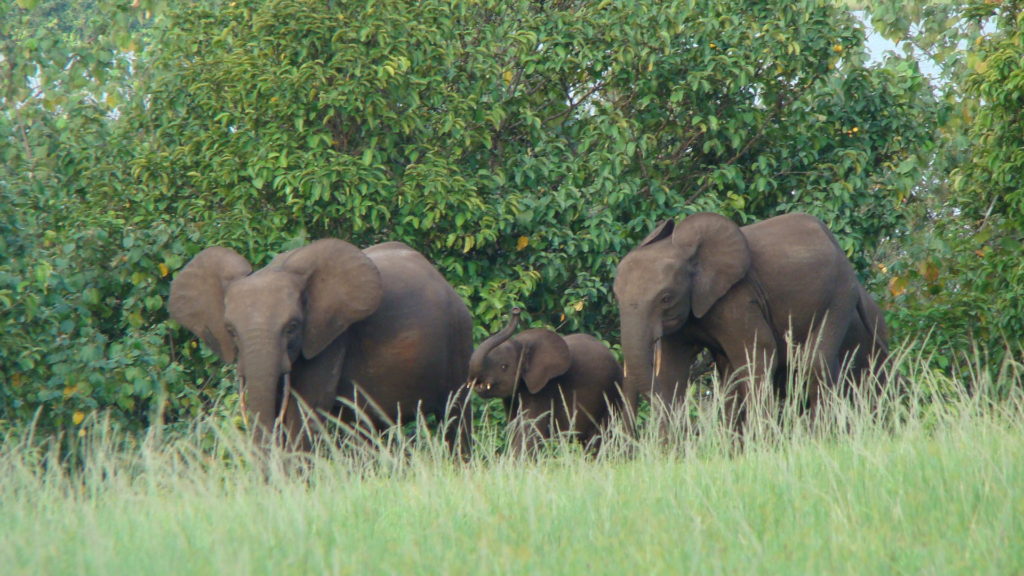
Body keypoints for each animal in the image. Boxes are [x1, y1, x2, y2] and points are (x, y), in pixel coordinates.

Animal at [167, 237, 471, 453]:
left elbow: (304, 412)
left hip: (458, 341)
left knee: (455, 417)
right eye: (230, 330)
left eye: (292, 327)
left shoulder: (330, 338)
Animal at [466, 305, 622, 453]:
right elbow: (515, 426)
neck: (522, 345)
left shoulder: (545, 387)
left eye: (504, 366)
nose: (515, 310)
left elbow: (529, 429)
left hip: (611, 395)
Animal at [614, 211, 888, 430]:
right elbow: (672, 371)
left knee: (814, 361)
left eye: (665, 298)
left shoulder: (736, 297)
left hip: (840, 293)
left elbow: (758, 352)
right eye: (616, 296)